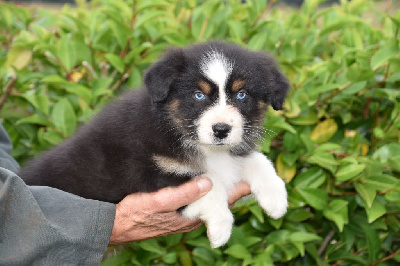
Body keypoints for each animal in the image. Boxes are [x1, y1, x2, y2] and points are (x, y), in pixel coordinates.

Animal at [20, 41, 290, 247]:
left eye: (242, 94)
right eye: (198, 95)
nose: (221, 130)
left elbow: (256, 160)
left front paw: (276, 198)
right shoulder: (152, 173)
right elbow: (209, 183)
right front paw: (220, 229)